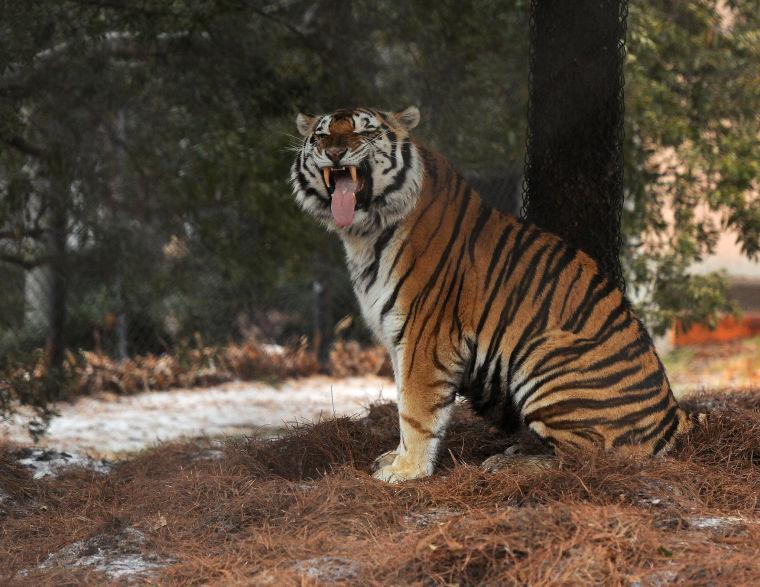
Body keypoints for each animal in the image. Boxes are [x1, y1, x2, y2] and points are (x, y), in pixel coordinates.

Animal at [290, 104, 700, 482]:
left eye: (364, 131)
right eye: (322, 135)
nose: (335, 152)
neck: (363, 234)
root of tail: (672, 418)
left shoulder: (425, 334)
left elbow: (415, 409)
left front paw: (406, 471)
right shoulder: (397, 336)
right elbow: (403, 401)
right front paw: (394, 458)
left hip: (545, 353)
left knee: (585, 458)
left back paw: (509, 464)